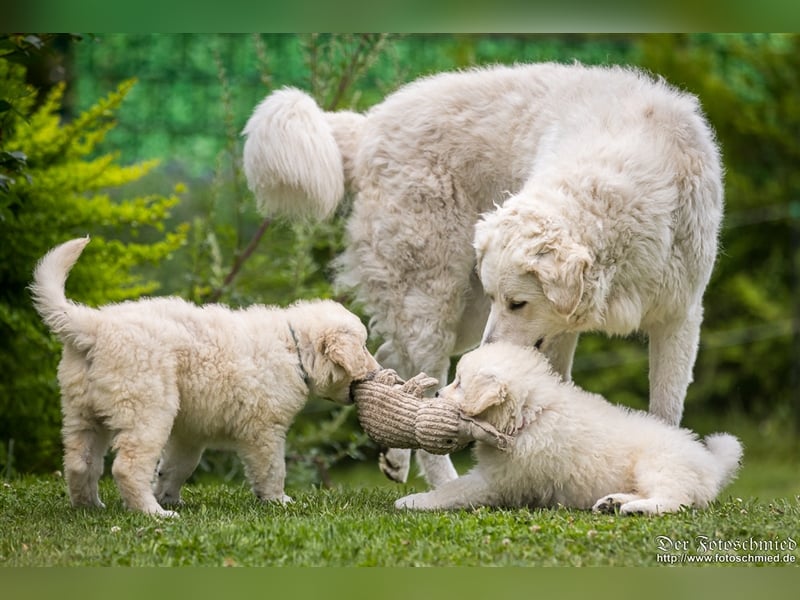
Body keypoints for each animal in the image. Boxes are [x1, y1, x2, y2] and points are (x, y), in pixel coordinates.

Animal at [32, 236, 380, 516]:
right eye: (364, 346)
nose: (376, 371)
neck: (293, 347)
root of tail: (96, 326)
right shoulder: (264, 429)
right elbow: (272, 468)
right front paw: (279, 500)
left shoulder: (190, 434)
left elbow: (177, 467)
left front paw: (170, 495)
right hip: (148, 409)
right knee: (127, 467)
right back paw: (154, 513)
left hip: (82, 411)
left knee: (79, 462)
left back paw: (90, 506)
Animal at [241, 62, 720, 482]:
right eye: (501, 300)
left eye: (518, 303)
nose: (488, 354)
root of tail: (369, 127)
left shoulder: (678, 316)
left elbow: (665, 409)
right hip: (433, 305)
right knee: (423, 402)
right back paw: (443, 485)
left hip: (459, 319)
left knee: (392, 362)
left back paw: (395, 456)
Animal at [396, 342, 740, 516]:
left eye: (459, 383)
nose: (436, 396)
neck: (531, 417)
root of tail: (712, 464)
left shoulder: (499, 481)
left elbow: (454, 490)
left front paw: (413, 501)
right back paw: (613, 503)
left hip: (659, 464)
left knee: (674, 499)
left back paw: (638, 509)